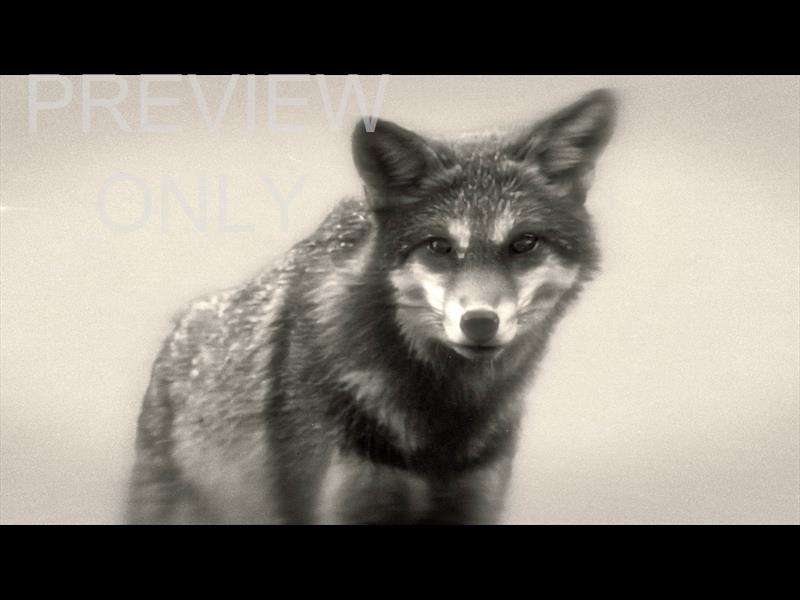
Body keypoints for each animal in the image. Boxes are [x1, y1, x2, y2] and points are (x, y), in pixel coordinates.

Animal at [127, 89, 617, 524]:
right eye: (439, 246)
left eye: (523, 244)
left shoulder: (474, 504)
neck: (440, 431)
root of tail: (181, 328)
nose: (479, 323)